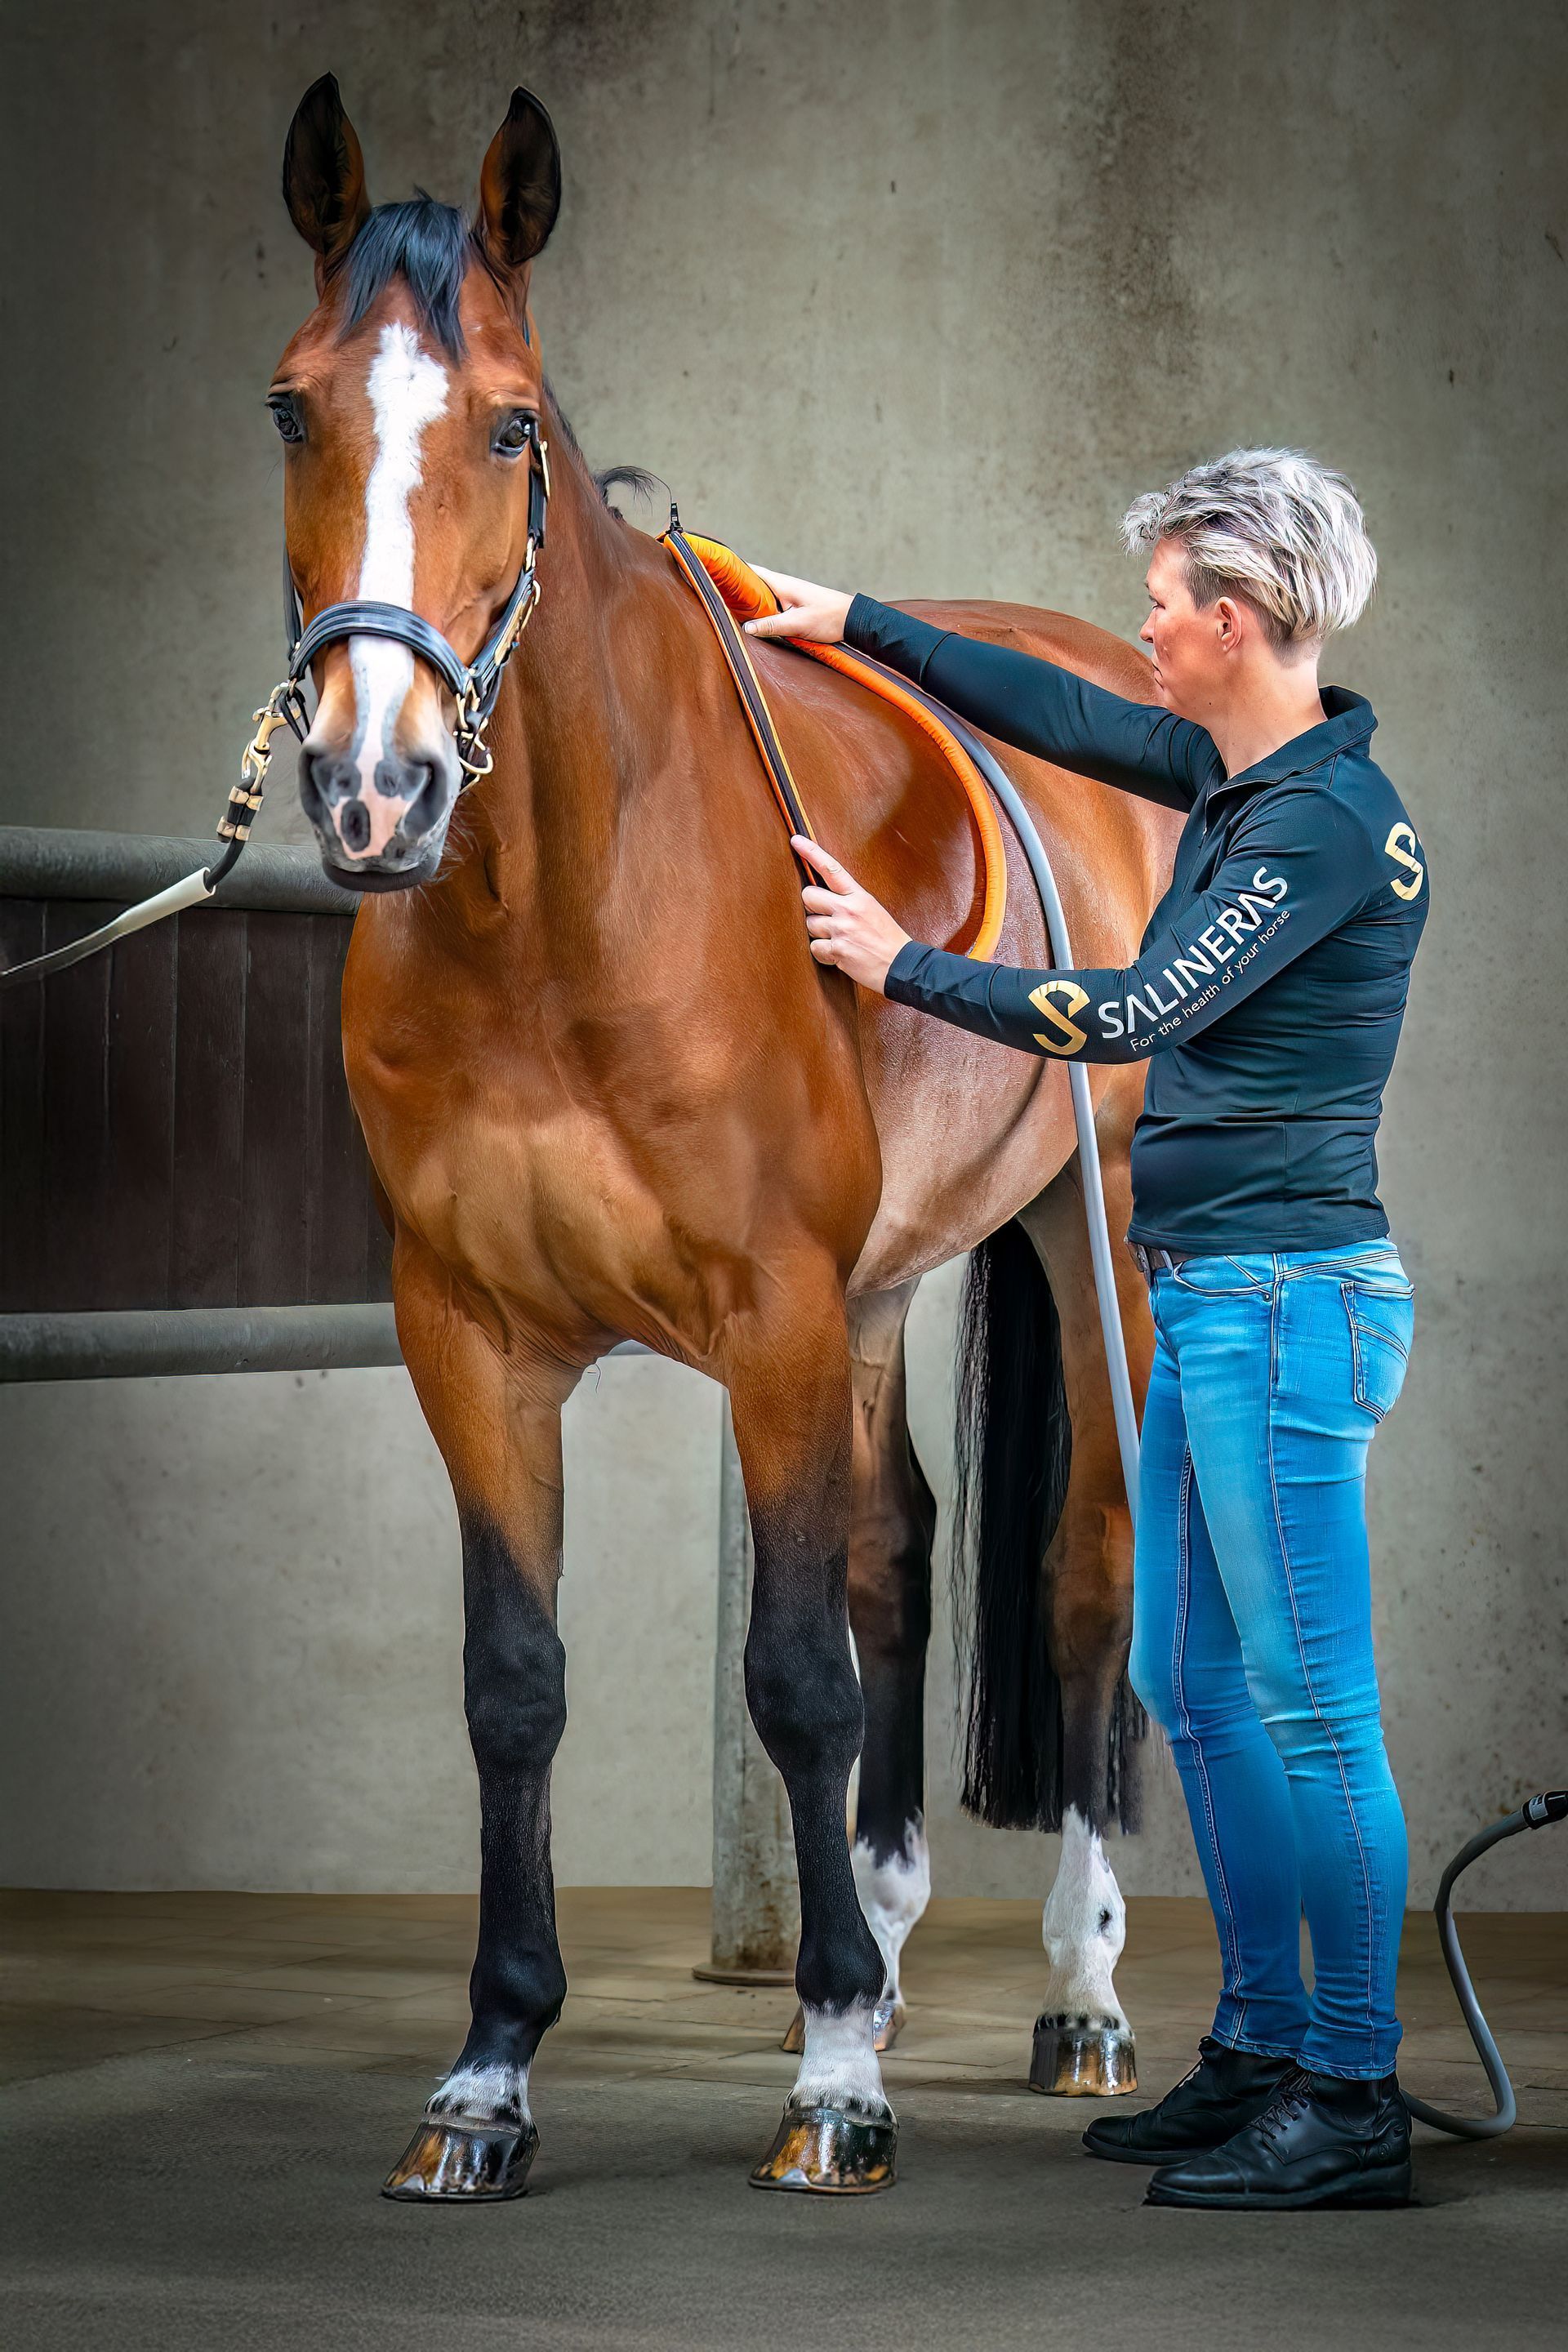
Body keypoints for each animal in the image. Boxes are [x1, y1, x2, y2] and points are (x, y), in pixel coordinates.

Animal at [272, 74, 1180, 2198]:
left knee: (1085, 1562)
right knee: (902, 1549)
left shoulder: (766, 1312)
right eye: (292, 409)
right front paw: (489, 2075)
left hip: (1090, 1229)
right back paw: (897, 1938)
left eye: (508, 424)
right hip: (882, 1288)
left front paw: (834, 2081)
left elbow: (791, 1669)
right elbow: (517, 1688)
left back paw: (1077, 1991)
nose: (372, 787)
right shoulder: (472, 1340)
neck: (561, 915)